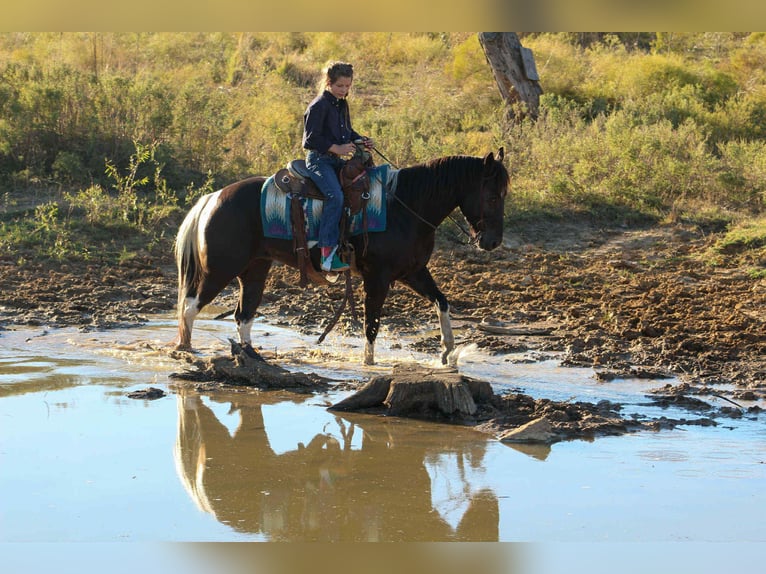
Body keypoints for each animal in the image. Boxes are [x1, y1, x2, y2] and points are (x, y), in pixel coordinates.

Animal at [174, 149, 509, 365]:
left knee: (243, 314)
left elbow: (442, 301)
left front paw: (448, 350)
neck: (405, 207)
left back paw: (251, 355)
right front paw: (369, 363)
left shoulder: (413, 272)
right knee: (190, 307)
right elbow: (372, 322)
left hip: (255, 268)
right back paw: (185, 348)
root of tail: (213, 198)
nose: (492, 242)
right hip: (220, 269)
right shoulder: (378, 277)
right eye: (493, 196)